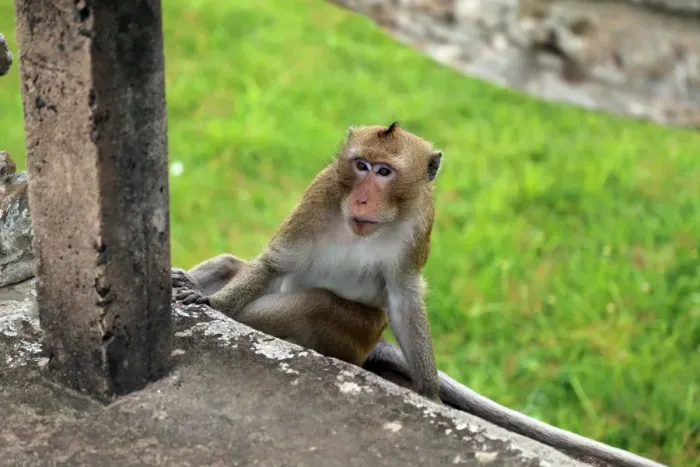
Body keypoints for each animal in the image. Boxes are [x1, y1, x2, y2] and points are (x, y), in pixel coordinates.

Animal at [173, 122, 443, 401]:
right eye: (361, 166)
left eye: (384, 172)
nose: (362, 199)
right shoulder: (321, 193)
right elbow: (274, 264)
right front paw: (213, 301)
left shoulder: (421, 220)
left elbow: (404, 299)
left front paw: (429, 393)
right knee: (231, 265)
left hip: (362, 333)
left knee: (316, 303)